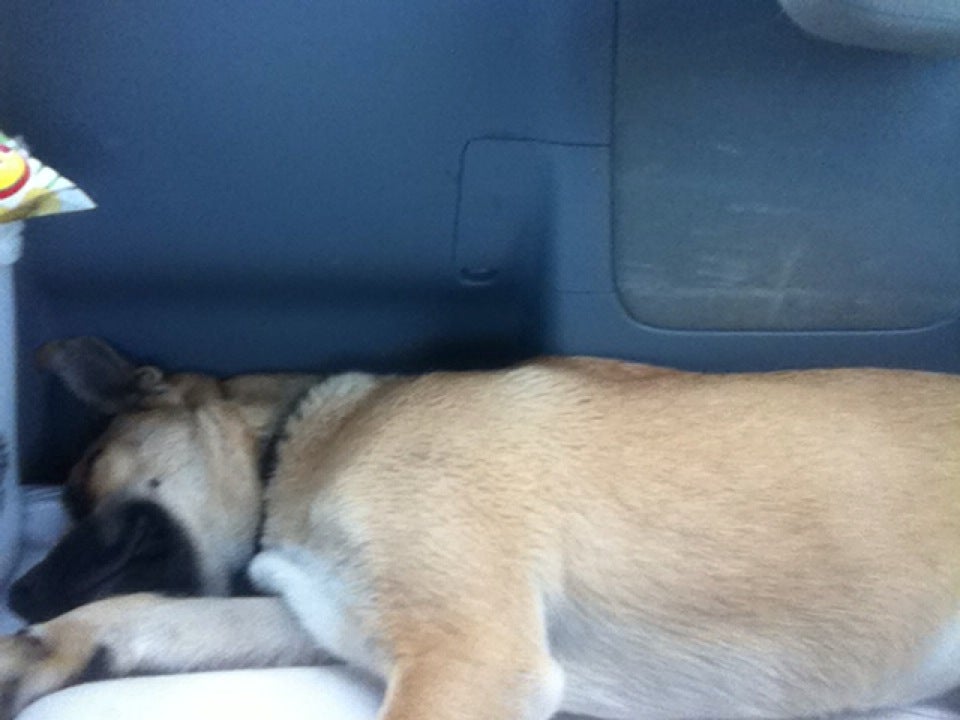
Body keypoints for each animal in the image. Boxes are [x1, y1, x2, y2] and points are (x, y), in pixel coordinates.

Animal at [2, 335, 960, 720]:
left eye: (84, 485)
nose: (16, 587)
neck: (301, 443)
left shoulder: (472, 661)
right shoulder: (319, 616)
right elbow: (148, 617)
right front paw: (39, 648)